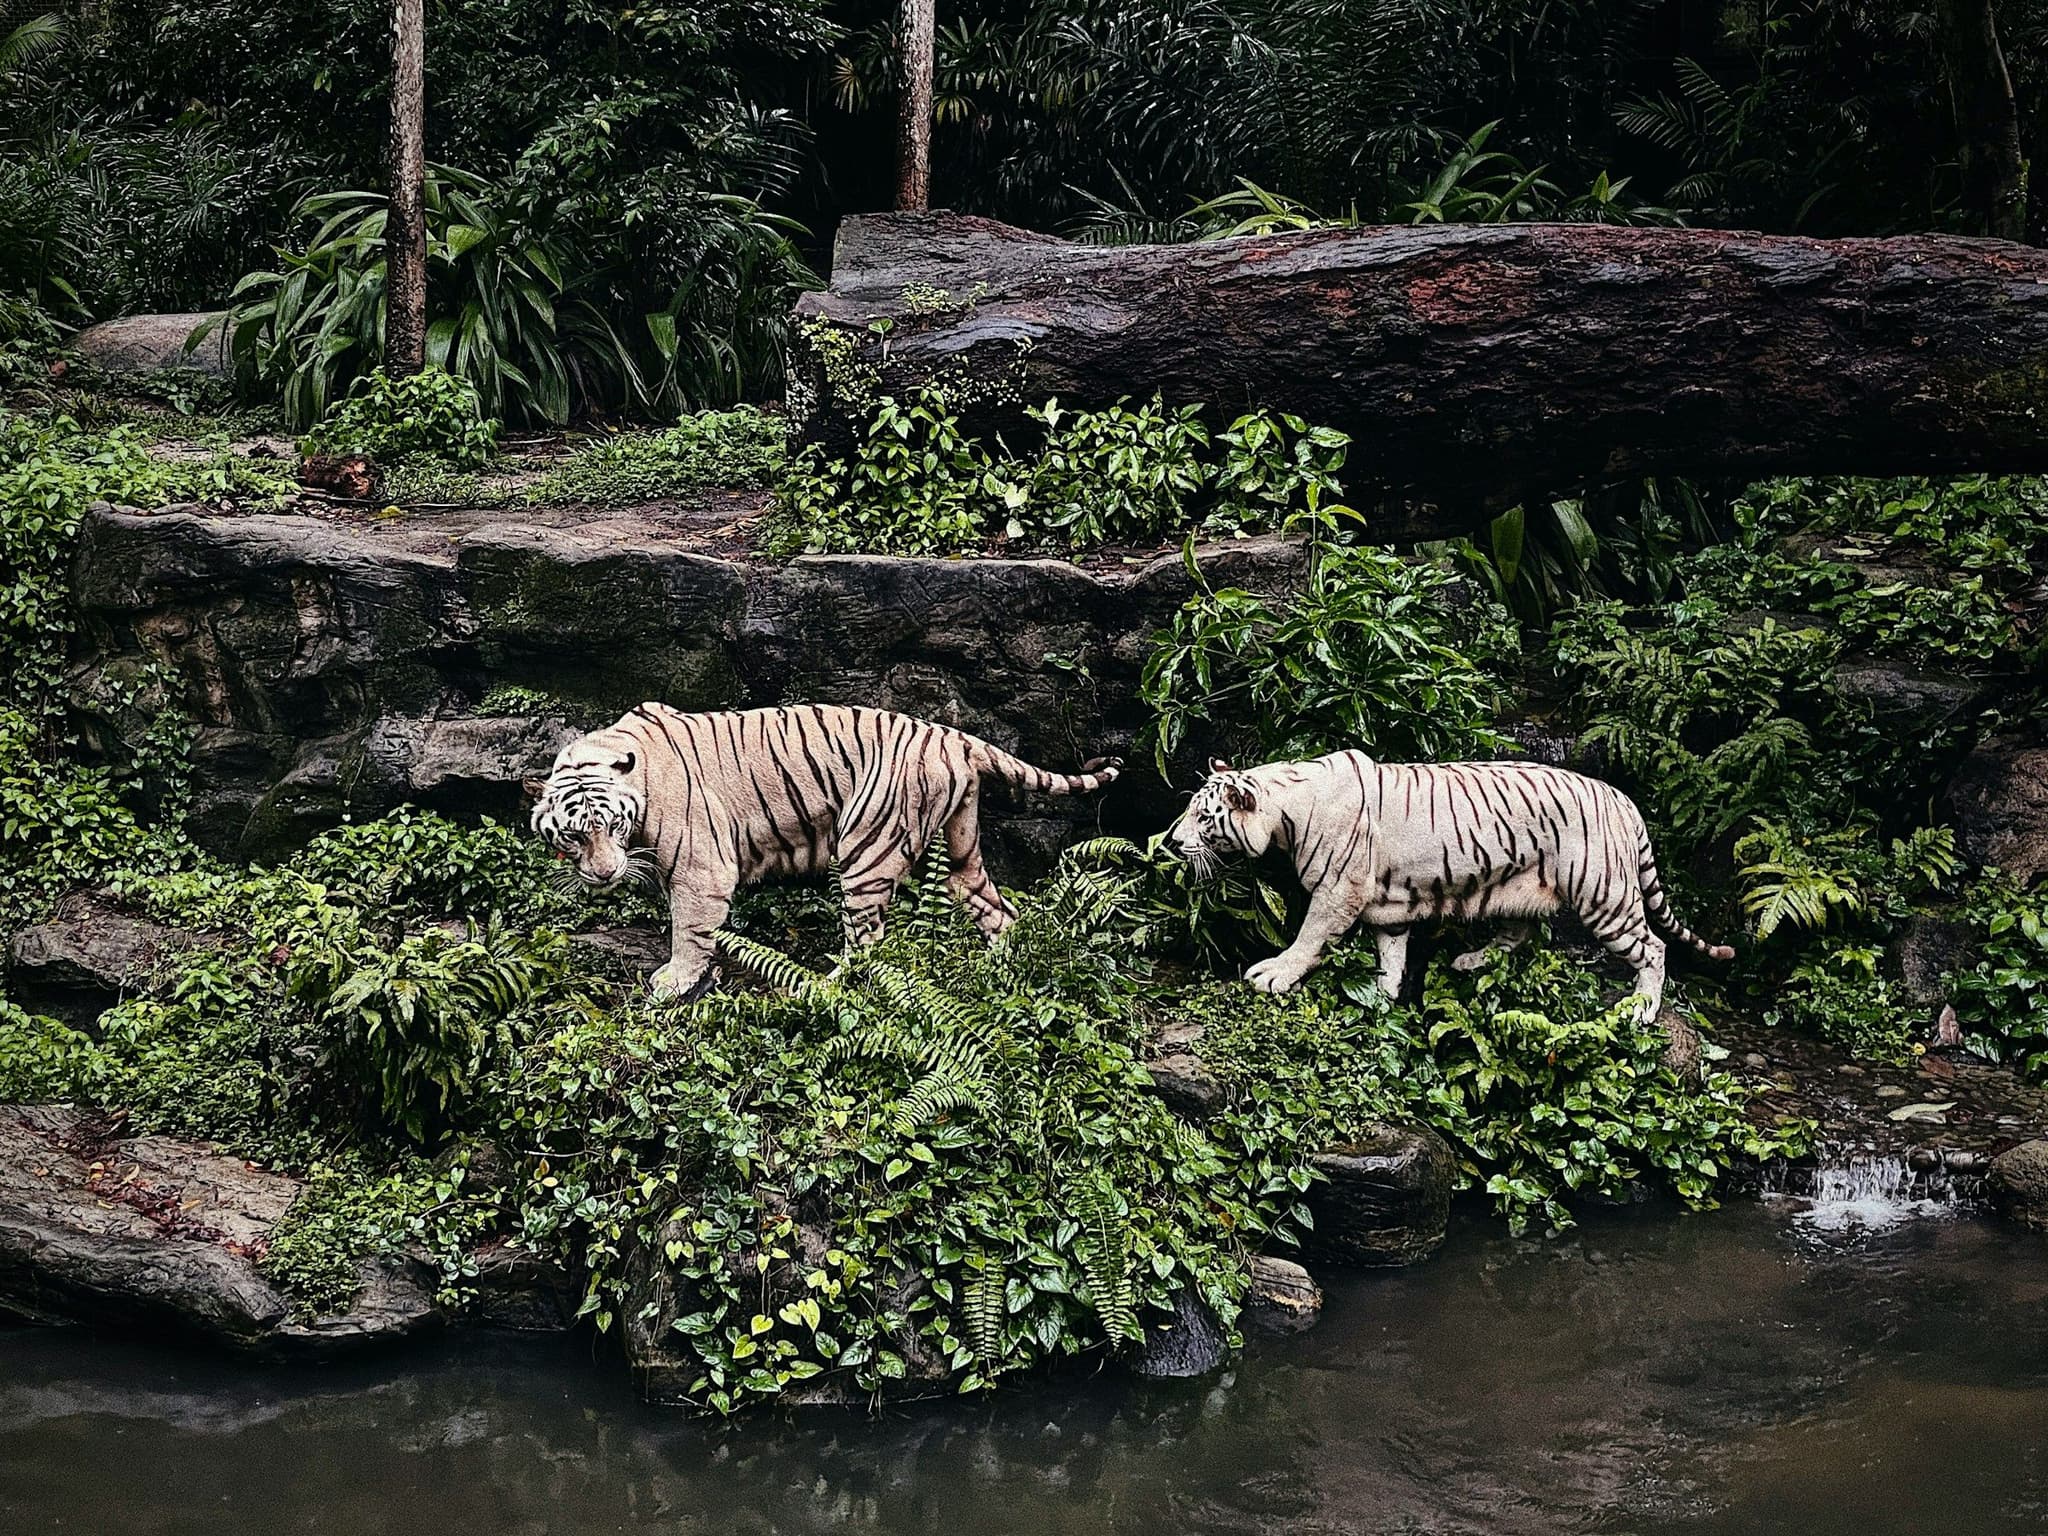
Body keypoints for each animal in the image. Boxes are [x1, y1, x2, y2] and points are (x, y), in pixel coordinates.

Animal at [526, 703, 1122, 999]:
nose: (605, 875)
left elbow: (690, 930)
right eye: (573, 835)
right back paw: (1004, 968)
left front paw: (674, 981)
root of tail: (953, 735)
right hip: (959, 849)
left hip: (865, 851)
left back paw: (819, 987)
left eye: (612, 825)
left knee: (869, 944)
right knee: (996, 909)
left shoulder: (702, 870)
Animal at [1165, 751, 1733, 1018]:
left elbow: (1309, 938)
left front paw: (1273, 975)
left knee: (1654, 947)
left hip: (1604, 895)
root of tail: (1623, 799)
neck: (1285, 807)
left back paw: (1642, 1009)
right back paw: (1471, 960)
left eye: (1204, 816)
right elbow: (1391, 951)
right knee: (1518, 934)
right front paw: (1383, 995)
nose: (1170, 841)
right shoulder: (1386, 903)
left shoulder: (1336, 892)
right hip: (1518, 886)